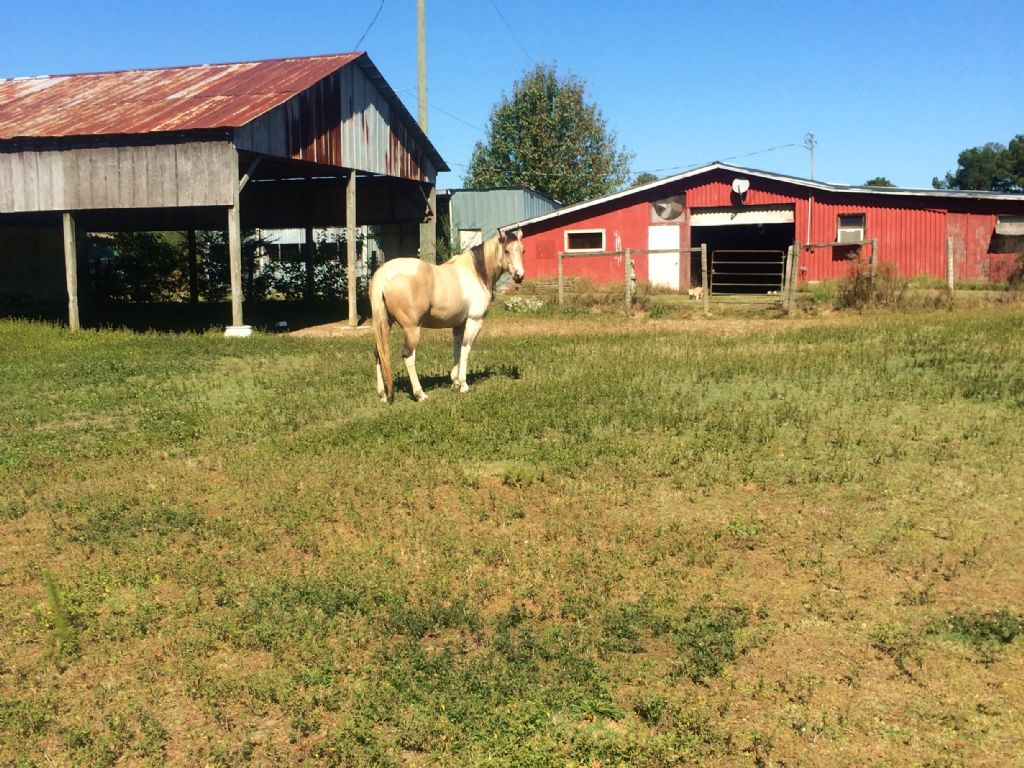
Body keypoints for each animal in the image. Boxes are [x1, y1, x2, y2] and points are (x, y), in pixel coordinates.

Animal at [370, 228, 525, 402]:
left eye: (522, 250)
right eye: (507, 251)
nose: (520, 276)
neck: (475, 272)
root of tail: (384, 274)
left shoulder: (458, 325)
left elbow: (456, 349)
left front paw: (455, 382)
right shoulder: (474, 321)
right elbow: (465, 349)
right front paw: (463, 385)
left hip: (385, 324)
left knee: (379, 353)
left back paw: (383, 395)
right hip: (412, 329)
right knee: (408, 355)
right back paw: (420, 394)